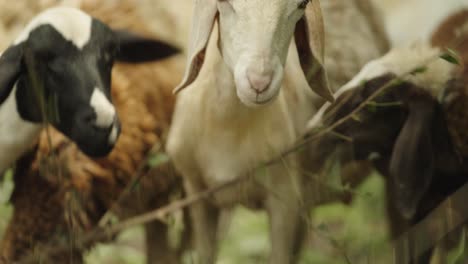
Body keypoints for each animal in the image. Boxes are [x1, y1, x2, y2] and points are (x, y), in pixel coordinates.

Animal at [166, 1, 334, 262]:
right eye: (224, 3)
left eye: (301, 5)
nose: (259, 82)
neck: (228, 131)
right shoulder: (197, 193)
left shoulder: (285, 196)